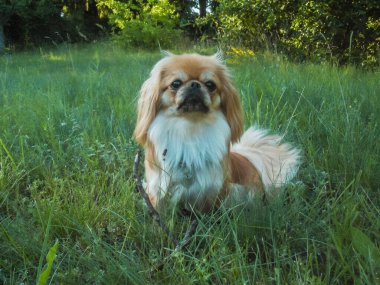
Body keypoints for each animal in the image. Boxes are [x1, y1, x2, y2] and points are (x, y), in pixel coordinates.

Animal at [134, 52, 300, 213]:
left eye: (210, 85)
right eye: (176, 83)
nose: (194, 84)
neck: (190, 128)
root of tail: (251, 161)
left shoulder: (210, 190)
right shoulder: (159, 186)